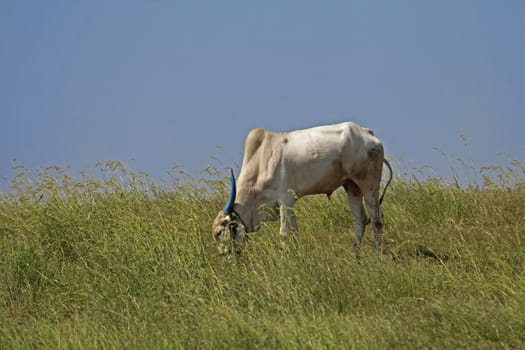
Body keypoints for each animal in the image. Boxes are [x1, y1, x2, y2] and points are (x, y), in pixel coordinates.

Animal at [212, 121, 388, 256]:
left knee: (377, 220)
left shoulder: (285, 200)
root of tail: (367, 133)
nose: (225, 256)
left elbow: (284, 233)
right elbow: (295, 232)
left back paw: (376, 256)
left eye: (220, 232)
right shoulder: (289, 204)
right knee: (360, 220)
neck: (261, 161)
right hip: (352, 186)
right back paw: (355, 255)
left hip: (369, 184)